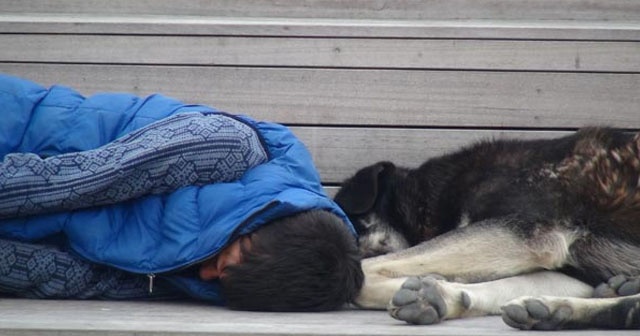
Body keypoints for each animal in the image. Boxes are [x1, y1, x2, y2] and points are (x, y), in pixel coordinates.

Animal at [336, 127, 640, 330]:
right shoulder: (571, 268)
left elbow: (365, 271)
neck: (430, 197)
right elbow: (506, 284)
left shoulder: (526, 234)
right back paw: (555, 310)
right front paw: (442, 295)